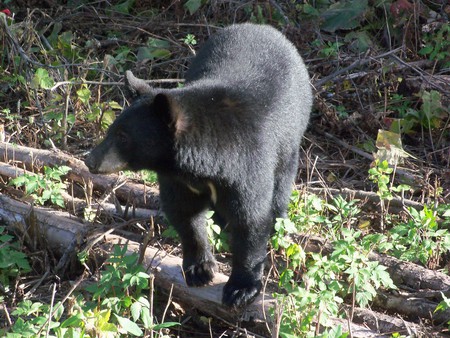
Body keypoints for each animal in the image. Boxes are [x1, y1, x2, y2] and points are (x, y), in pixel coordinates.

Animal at [86, 23, 314, 308]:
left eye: (123, 137)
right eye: (112, 130)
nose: (90, 160)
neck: (203, 163)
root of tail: (263, 27)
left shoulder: (248, 164)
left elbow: (250, 219)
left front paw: (241, 288)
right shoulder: (177, 179)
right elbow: (184, 213)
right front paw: (199, 268)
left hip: (292, 134)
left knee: (282, 183)